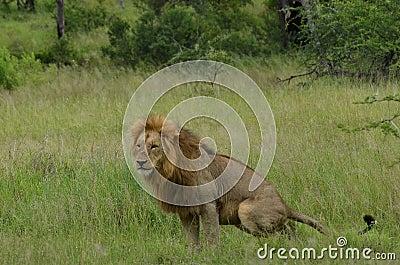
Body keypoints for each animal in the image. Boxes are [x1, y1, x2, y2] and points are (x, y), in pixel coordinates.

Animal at [131, 114, 328, 244]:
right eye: (139, 146)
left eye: (154, 147)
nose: (139, 162)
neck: (169, 172)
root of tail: (284, 204)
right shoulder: (186, 212)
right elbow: (192, 243)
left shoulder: (208, 207)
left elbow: (211, 240)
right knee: (290, 231)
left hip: (245, 209)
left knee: (278, 238)